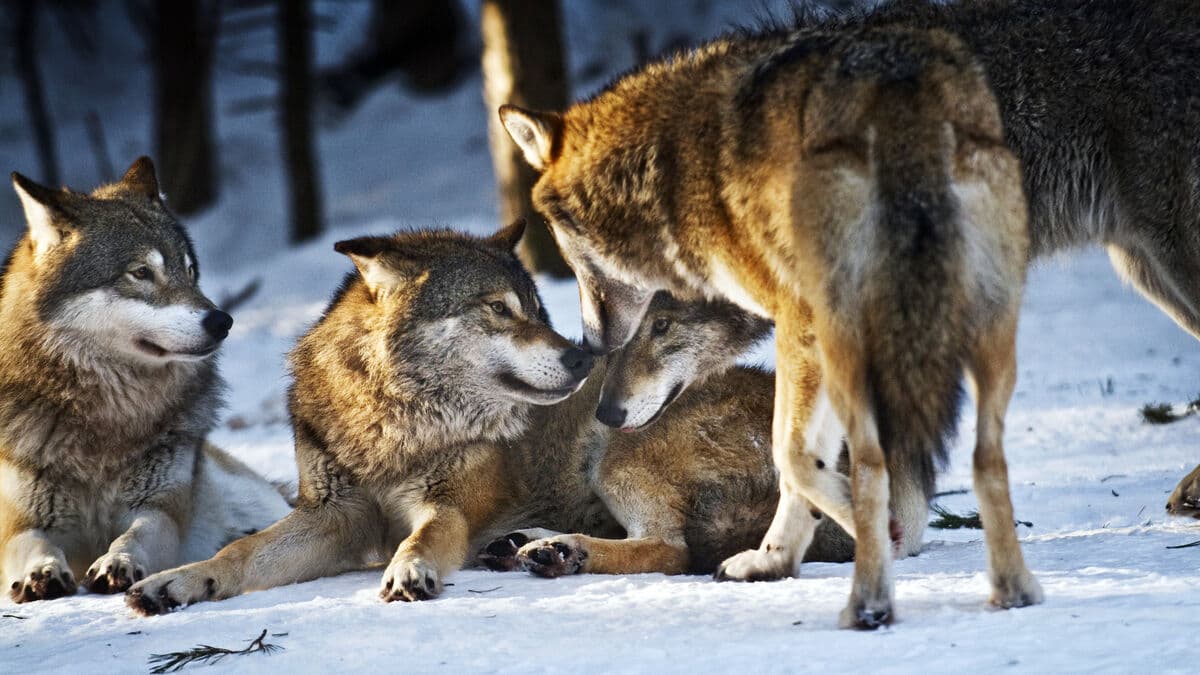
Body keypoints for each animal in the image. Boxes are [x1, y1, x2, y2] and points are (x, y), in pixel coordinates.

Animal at [0, 159, 289, 603]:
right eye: (141, 272)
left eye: (190, 271)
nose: (223, 321)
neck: (105, 415)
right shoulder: (21, 522)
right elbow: (33, 545)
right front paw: (41, 572)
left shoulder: (158, 507)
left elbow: (135, 535)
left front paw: (118, 562)